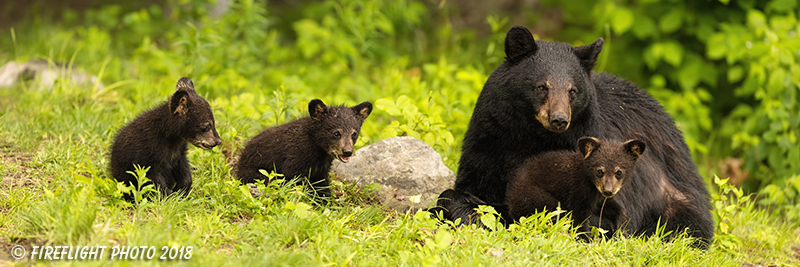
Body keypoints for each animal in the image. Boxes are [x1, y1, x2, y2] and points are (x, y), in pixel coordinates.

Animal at [236, 99, 374, 198]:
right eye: (336, 133)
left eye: (354, 134)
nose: (347, 152)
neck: (318, 149)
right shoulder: (298, 155)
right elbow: (293, 179)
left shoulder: (322, 167)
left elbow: (321, 185)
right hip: (255, 172)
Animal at [510, 137, 648, 240]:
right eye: (599, 171)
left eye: (619, 172)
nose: (608, 191)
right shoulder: (578, 188)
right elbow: (578, 218)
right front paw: (587, 242)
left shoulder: (597, 195)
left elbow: (610, 208)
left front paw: (622, 231)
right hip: (533, 197)